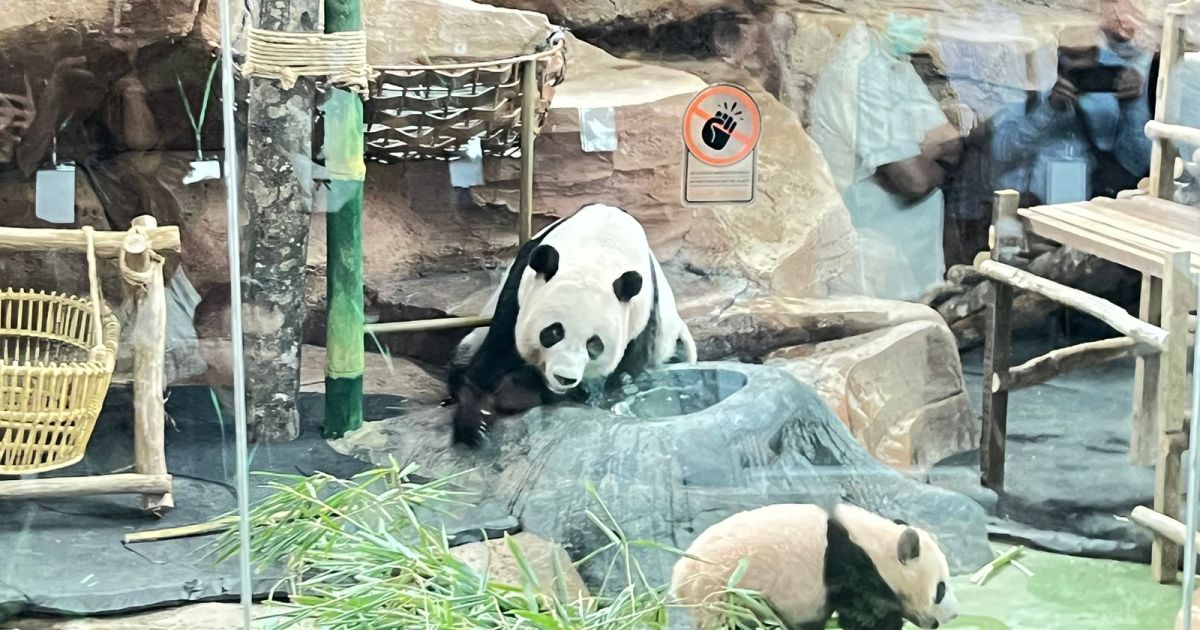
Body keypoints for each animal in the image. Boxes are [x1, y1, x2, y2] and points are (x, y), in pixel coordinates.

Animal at [448, 203, 697, 447]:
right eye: (553, 332)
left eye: (594, 345)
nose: (564, 378)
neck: (598, 253)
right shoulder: (519, 291)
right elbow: (496, 354)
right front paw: (476, 421)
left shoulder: (640, 319)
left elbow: (621, 376)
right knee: (465, 350)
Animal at [670, 503, 959, 630]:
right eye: (940, 590)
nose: (954, 615)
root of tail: (679, 579)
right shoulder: (850, 567)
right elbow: (866, 615)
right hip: (725, 591)